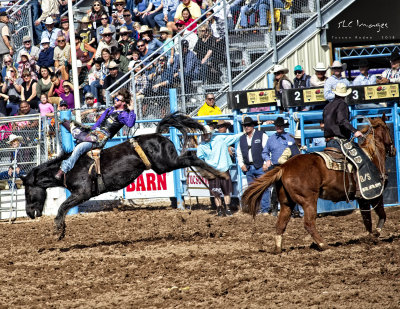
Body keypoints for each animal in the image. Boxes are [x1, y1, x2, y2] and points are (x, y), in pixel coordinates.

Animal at [21, 112, 223, 239]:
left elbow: (62, 207)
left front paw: (58, 230)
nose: (29, 213)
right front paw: (60, 230)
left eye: (27, 191)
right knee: (191, 157)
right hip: (165, 164)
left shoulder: (82, 193)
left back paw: (220, 175)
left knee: (192, 157)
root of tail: (158, 134)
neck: (70, 167)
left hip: (166, 164)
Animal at [242, 114, 396, 251]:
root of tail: (284, 167)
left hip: (286, 203)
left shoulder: (362, 198)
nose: (393, 149)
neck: (372, 155)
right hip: (309, 200)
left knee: (281, 224)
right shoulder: (376, 195)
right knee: (309, 223)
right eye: (388, 129)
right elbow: (382, 215)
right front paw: (376, 234)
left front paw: (369, 237)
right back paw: (323, 245)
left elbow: (367, 219)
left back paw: (278, 249)